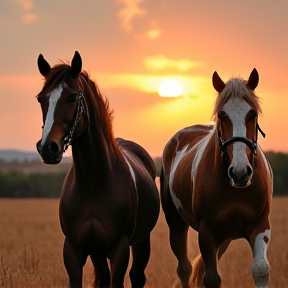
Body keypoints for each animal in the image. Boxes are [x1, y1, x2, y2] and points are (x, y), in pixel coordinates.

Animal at [35, 51, 160, 288]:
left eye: (72, 97)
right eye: (41, 99)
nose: (48, 148)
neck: (93, 182)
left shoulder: (119, 250)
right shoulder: (74, 251)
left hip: (142, 242)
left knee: (137, 276)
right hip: (97, 253)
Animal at [161, 69, 274, 288]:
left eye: (253, 115)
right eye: (222, 115)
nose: (240, 173)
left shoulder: (261, 224)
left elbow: (260, 269)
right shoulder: (207, 231)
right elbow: (212, 278)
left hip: (225, 238)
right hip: (176, 223)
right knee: (185, 269)